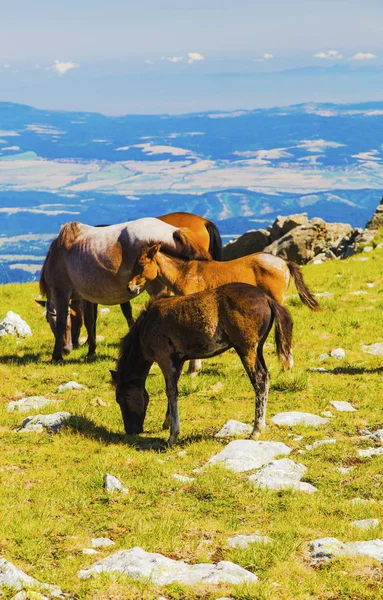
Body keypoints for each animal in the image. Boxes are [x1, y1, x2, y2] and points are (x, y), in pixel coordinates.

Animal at [112, 282, 292, 446]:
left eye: (121, 398)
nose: (131, 430)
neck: (147, 325)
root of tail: (266, 298)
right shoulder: (178, 361)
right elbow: (173, 388)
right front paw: (167, 422)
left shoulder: (164, 358)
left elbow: (171, 391)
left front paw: (172, 436)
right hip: (257, 349)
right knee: (266, 377)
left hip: (246, 349)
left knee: (260, 379)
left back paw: (256, 430)